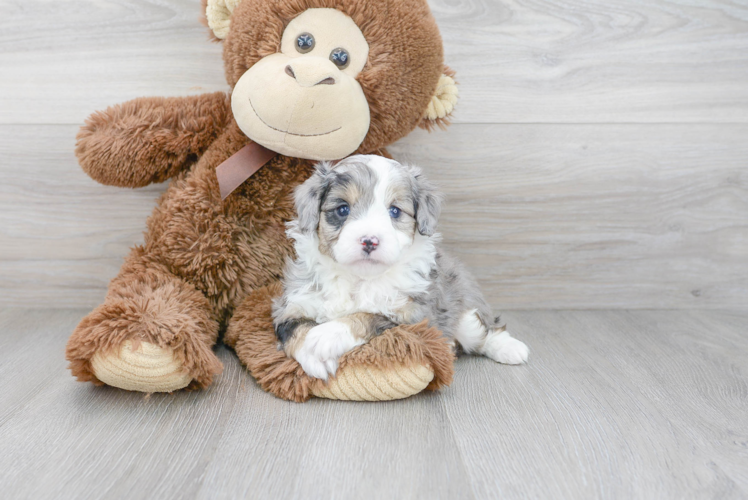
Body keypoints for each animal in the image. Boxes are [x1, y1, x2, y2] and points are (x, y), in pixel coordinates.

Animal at [272, 153, 528, 378]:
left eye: (394, 211)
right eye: (342, 209)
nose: (370, 240)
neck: (358, 279)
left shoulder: (415, 317)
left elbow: (368, 315)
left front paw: (326, 335)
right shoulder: (291, 306)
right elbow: (294, 330)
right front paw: (313, 355)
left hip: (466, 316)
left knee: (485, 331)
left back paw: (511, 349)